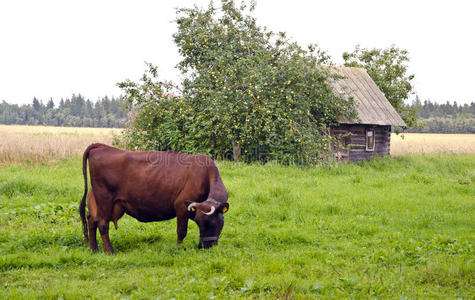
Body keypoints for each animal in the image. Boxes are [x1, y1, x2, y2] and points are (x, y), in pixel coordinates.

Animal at [78, 144, 231, 253]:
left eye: (212, 223)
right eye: (202, 223)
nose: (205, 246)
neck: (205, 174)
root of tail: (102, 147)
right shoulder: (181, 205)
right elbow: (181, 231)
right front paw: (178, 249)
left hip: (98, 200)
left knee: (91, 220)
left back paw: (94, 249)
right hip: (105, 199)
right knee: (102, 224)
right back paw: (110, 251)